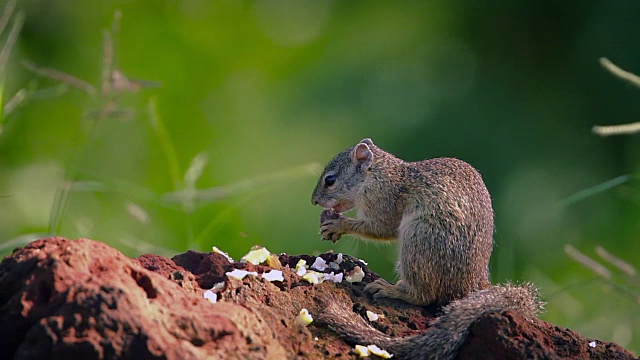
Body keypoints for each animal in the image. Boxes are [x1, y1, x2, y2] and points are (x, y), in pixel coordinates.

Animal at [308, 139, 540, 360]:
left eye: (330, 180)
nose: (314, 201)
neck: (377, 174)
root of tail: (472, 285)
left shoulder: (383, 201)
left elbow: (380, 228)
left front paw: (337, 225)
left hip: (418, 241)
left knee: (424, 296)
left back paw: (390, 289)